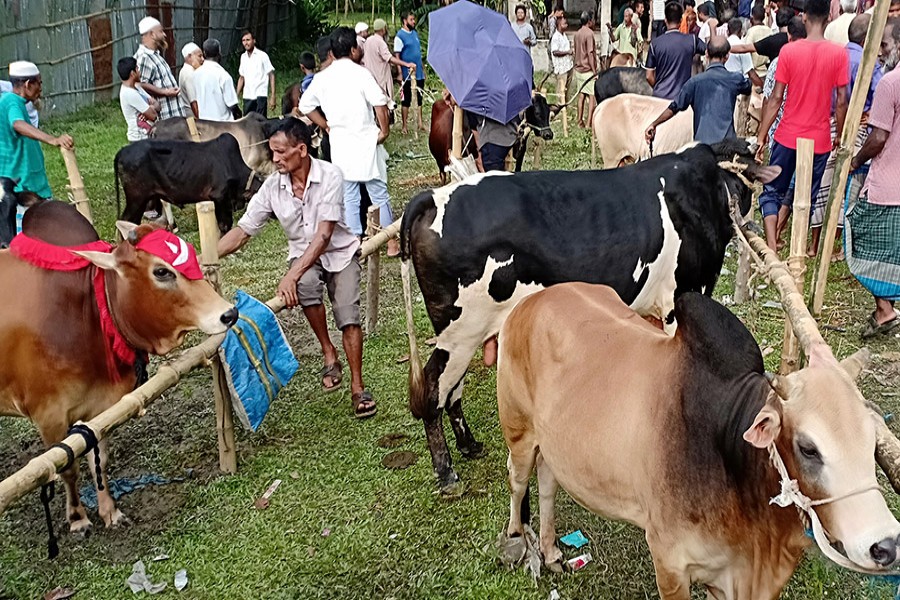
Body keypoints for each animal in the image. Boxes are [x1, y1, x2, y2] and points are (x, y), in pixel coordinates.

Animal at [400, 139, 780, 492]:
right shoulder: (682, 296)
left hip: (464, 334)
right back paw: (446, 471)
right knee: (433, 390)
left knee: (451, 390)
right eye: (748, 181)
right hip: (459, 332)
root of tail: (433, 197)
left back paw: (469, 444)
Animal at [500, 284, 900, 596]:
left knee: (548, 480)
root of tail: (532, 300)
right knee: (518, 481)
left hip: (553, 443)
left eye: (872, 443)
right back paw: (517, 539)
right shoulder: (671, 564)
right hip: (519, 431)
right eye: (808, 448)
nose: (886, 545)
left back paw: (551, 552)